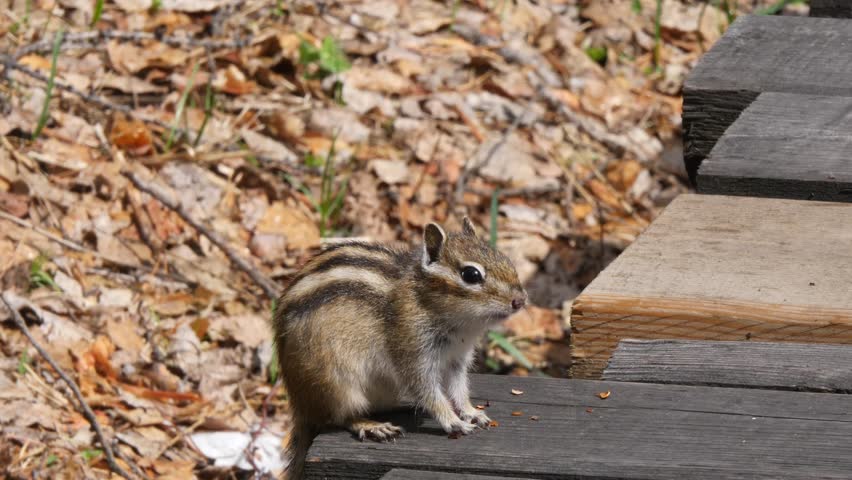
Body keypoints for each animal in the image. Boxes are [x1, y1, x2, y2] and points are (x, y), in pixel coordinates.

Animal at [273, 217, 527, 479]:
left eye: (504, 258)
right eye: (471, 274)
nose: (520, 300)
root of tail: (299, 404)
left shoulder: (458, 357)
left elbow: (458, 388)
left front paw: (470, 412)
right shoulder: (412, 353)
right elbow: (427, 391)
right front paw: (452, 421)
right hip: (336, 385)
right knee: (337, 418)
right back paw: (371, 426)